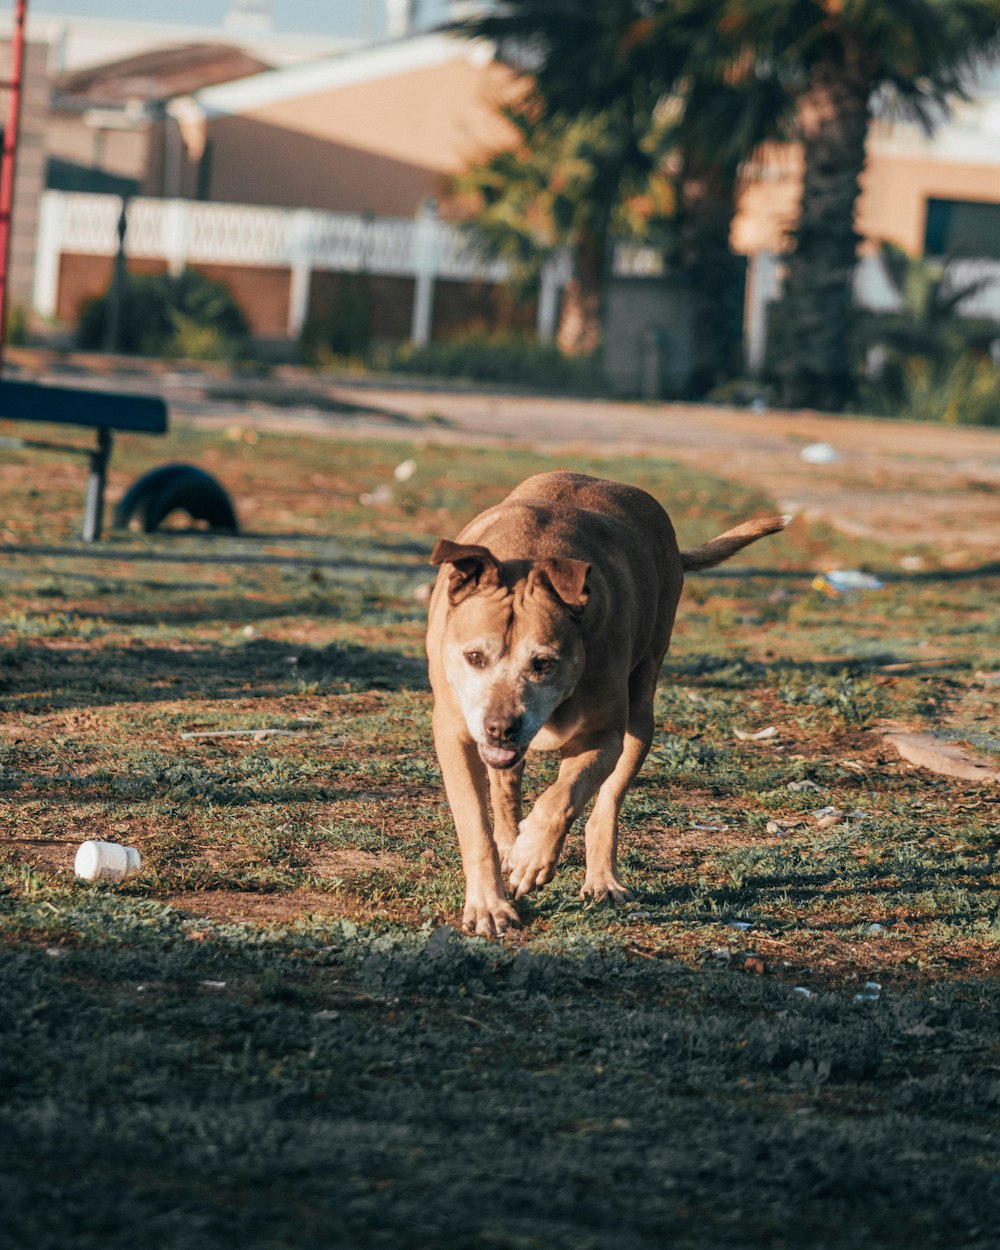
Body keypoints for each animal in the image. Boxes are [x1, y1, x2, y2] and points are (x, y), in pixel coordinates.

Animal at [425, 472, 785, 935]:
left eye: (543, 663)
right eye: (474, 657)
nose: (500, 727)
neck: (532, 554)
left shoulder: (603, 735)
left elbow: (563, 798)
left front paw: (532, 857)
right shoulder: (455, 732)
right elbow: (475, 823)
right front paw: (490, 903)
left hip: (641, 709)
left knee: (607, 803)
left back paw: (599, 878)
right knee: (506, 788)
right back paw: (509, 842)